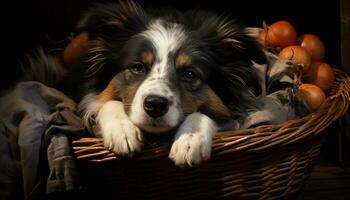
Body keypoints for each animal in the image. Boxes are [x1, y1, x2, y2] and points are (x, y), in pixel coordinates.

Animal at [21, 0, 270, 166]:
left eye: (190, 74)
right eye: (137, 67)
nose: (155, 105)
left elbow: (205, 113)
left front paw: (190, 139)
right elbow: (105, 101)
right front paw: (122, 131)